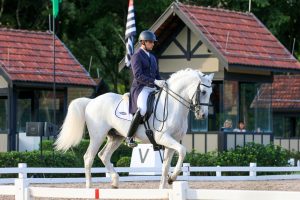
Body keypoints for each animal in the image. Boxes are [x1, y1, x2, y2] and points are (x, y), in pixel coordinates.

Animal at [54, 68, 213, 188]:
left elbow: (166, 166)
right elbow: (183, 151)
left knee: (103, 155)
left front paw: (165, 186)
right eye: (203, 92)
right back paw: (89, 187)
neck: (173, 105)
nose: (203, 115)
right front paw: (172, 178)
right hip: (97, 136)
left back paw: (115, 181)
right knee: (89, 157)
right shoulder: (163, 138)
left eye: (211, 93)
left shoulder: (171, 142)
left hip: (116, 137)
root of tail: (91, 101)